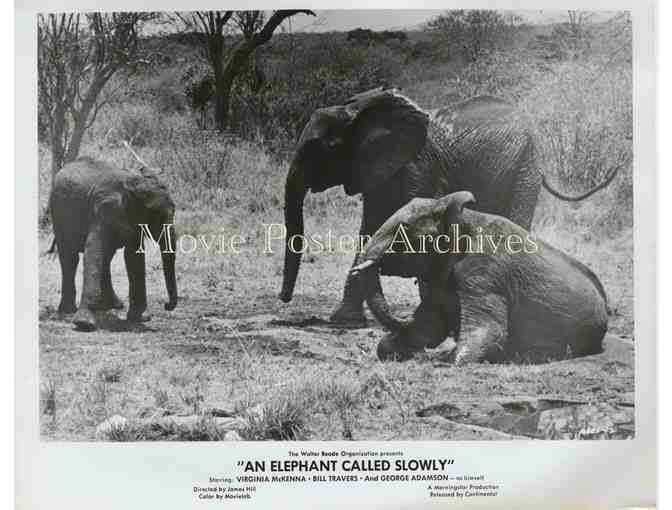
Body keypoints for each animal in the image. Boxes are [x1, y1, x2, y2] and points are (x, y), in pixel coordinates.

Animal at [49, 156, 178, 330]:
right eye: (155, 215)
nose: (166, 305)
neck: (133, 184)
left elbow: (134, 257)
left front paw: (141, 318)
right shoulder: (103, 209)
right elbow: (94, 251)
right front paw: (84, 324)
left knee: (106, 257)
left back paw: (112, 306)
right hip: (58, 212)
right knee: (70, 258)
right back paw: (68, 312)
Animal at [280, 85, 620, 324]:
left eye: (319, 149)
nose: (284, 299)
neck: (359, 112)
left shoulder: (419, 166)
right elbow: (371, 226)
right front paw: (344, 320)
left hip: (526, 166)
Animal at [352, 191, 608, 362]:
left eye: (403, 228)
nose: (405, 316)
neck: (460, 215)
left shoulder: (485, 272)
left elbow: (489, 333)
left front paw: (449, 360)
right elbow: (429, 324)